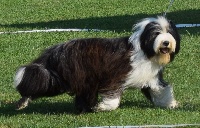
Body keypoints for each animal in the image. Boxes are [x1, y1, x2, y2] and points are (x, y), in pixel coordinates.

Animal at [13, 16, 180, 113]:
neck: (144, 49)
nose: (166, 42)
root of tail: (55, 51)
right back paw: (23, 103)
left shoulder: (152, 78)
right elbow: (112, 97)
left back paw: (84, 108)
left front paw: (170, 104)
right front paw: (103, 107)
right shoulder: (115, 77)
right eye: (156, 33)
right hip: (66, 77)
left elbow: (162, 89)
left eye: (169, 32)